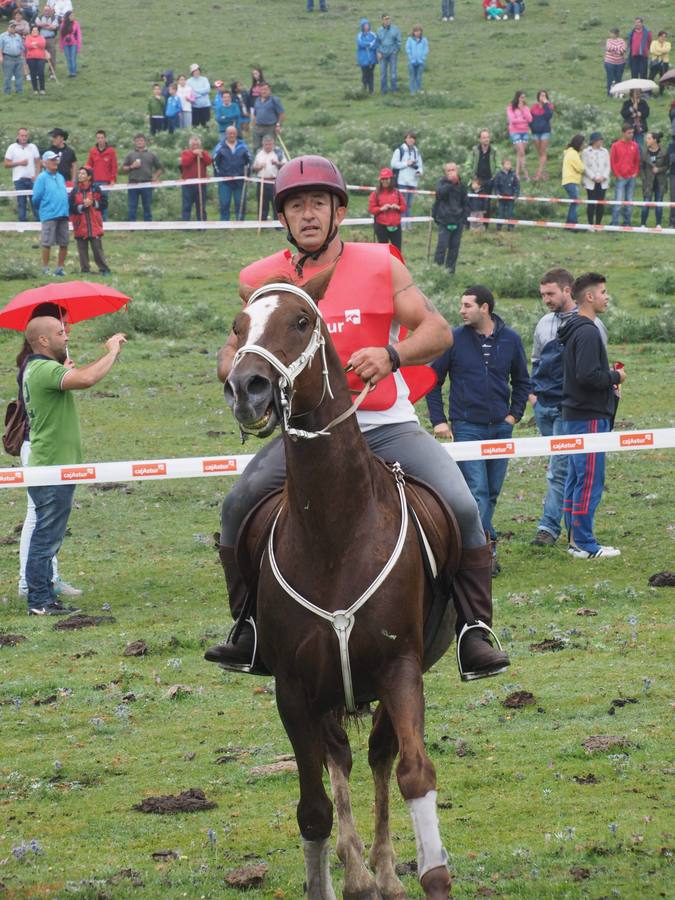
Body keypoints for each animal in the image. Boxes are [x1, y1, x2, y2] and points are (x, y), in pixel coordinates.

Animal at [224, 274, 462, 900]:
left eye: (301, 322)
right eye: (239, 325)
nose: (247, 388)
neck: (335, 527)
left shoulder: (400, 669)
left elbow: (413, 773)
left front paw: (423, 871)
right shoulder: (292, 688)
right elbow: (315, 809)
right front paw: (339, 877)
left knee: (378, 756)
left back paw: (384, 871)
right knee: (343, 758)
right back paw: (358, 874)